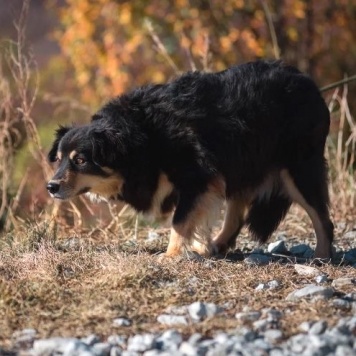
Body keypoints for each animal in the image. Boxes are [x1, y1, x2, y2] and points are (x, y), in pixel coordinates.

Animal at [47, 59, 334, 258]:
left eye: (81, 160)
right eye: (59, 159)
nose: (51, 186)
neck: (142, 138)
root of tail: (311, 84)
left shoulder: (198, 175)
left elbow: (180, 220)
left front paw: (171, 255)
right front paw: (199, 248)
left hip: (298, 166)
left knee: (321, 215)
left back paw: (321, 256)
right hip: (242, 159)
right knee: (237, 210)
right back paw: (218, 244)